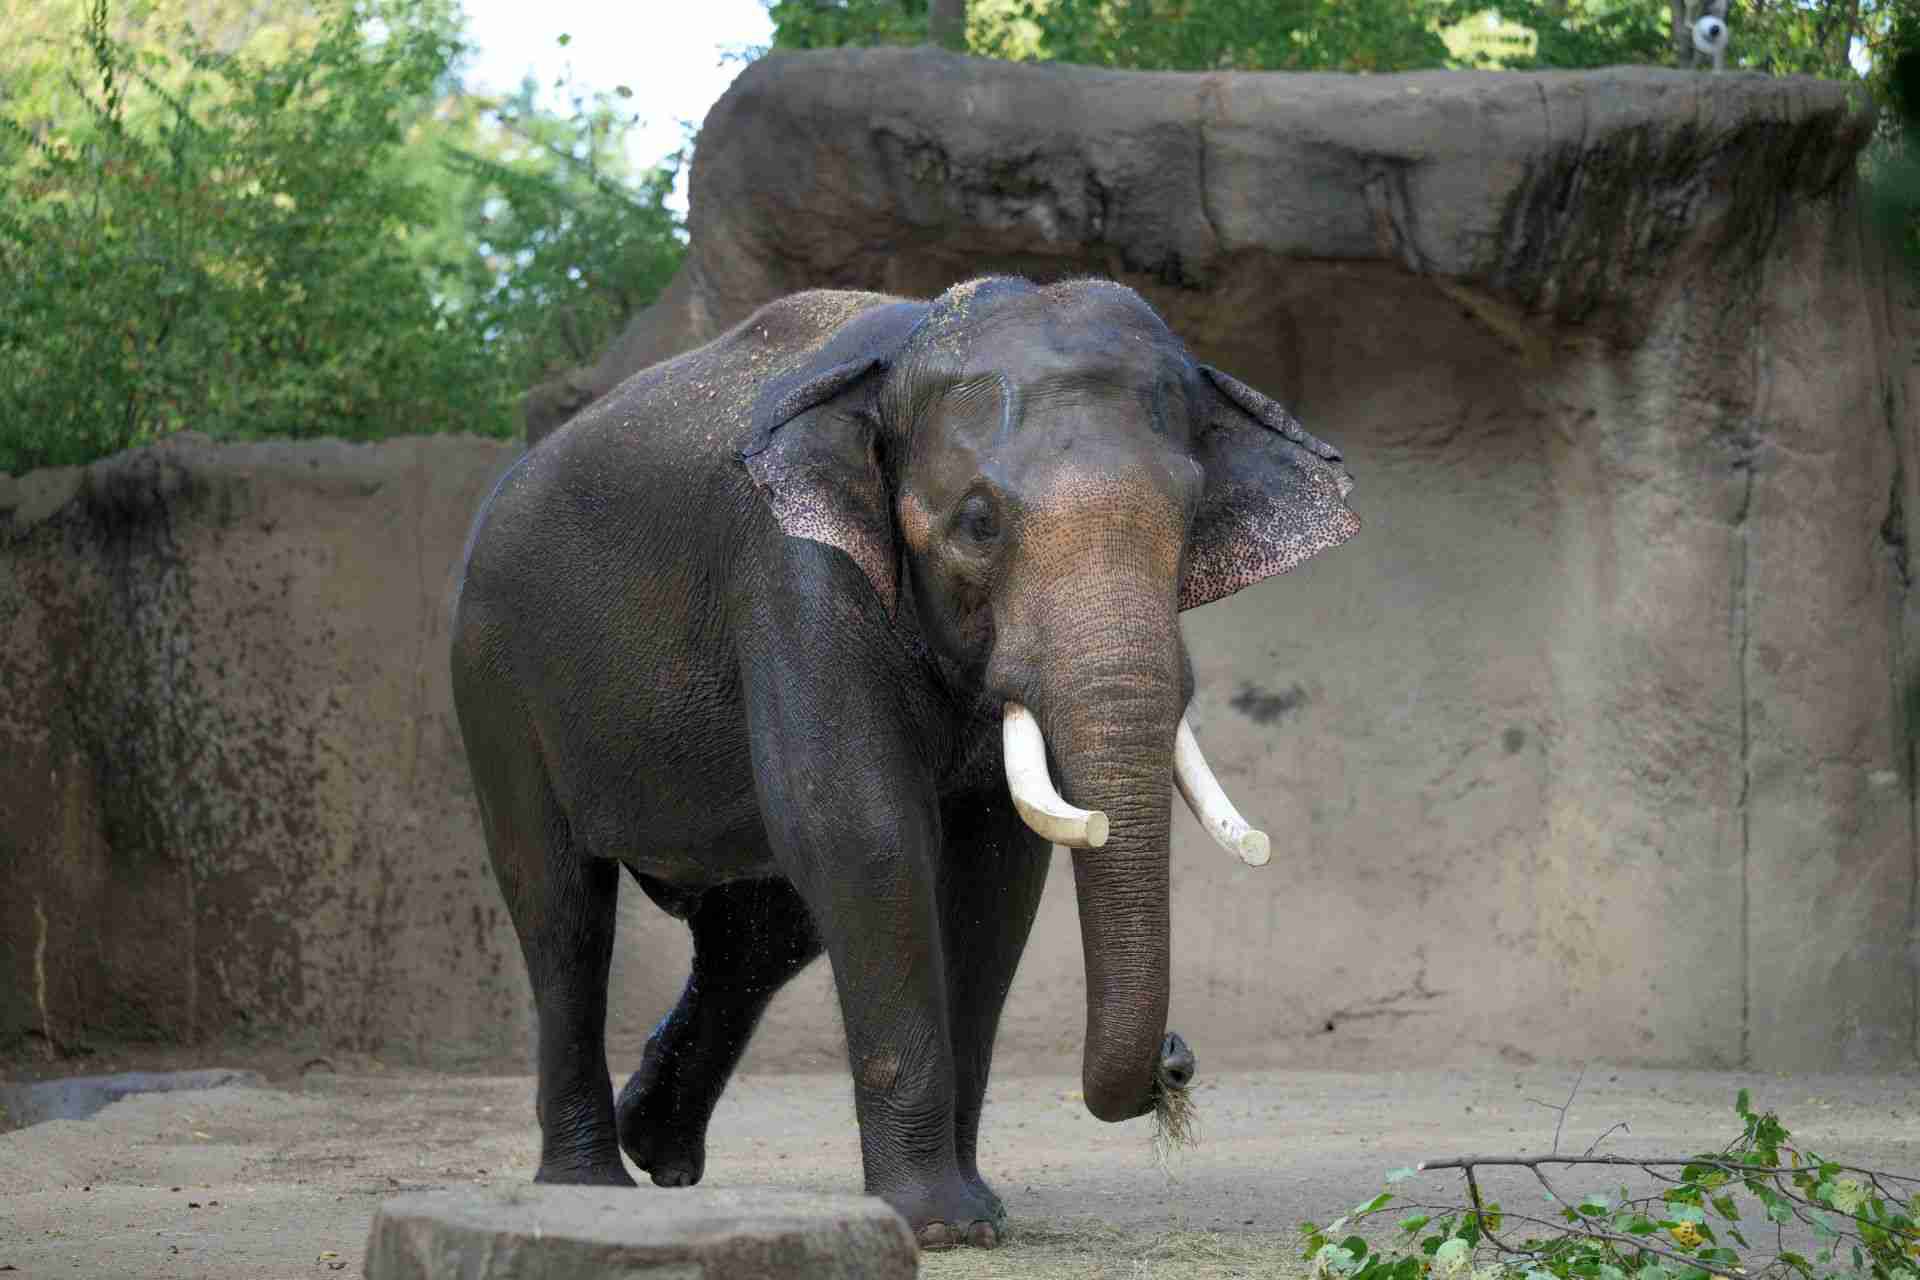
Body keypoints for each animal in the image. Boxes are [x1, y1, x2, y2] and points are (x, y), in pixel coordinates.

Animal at [449, 275, 1359, 1249]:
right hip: (495, 675)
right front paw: (941, 1228)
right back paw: (588, 1187)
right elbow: (865, 833)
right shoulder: (791, 570)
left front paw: (979, 1212)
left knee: (761, 933)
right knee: (563, 910)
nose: (1177, 1060)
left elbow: (994, 873)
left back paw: (660, 1150)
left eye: (1189, 518)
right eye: (979, 523)